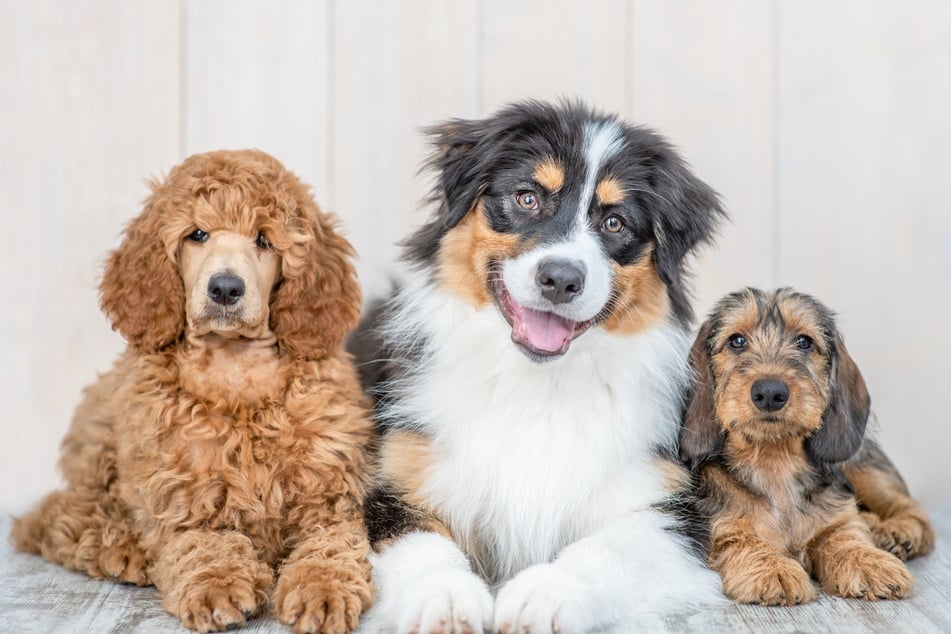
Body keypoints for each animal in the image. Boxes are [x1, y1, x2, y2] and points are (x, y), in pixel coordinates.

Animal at [12, 149, 376, 632]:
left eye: (264, 240)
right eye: (197, 235)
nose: (225, 287)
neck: (234, 364)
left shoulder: (330, 499)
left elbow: (330, 546)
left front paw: (323, 590)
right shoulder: (182, 501)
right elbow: (205, 544)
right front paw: (218, 584)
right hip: (97, 453)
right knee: (58, 516)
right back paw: (122, 550)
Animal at [350, 101, 728, 628]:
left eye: (616, 223)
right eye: (527, 198)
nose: (561, 279)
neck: (537, 382)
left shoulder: (669, 506)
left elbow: (608, 550)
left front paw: (544, 595)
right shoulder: (393, 482)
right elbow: (421, 545)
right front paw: (445, 599)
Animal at [680, 286, 932, 604]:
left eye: (804, 341)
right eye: (736, 341)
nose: (770, 392)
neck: (775, 461)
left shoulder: (836, 519)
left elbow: (845, 535)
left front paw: (870, 561)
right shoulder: (720, 528)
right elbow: (743, 540)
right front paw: (773, 569)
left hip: (863, 469)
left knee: (912, 509)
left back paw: (898, 531)